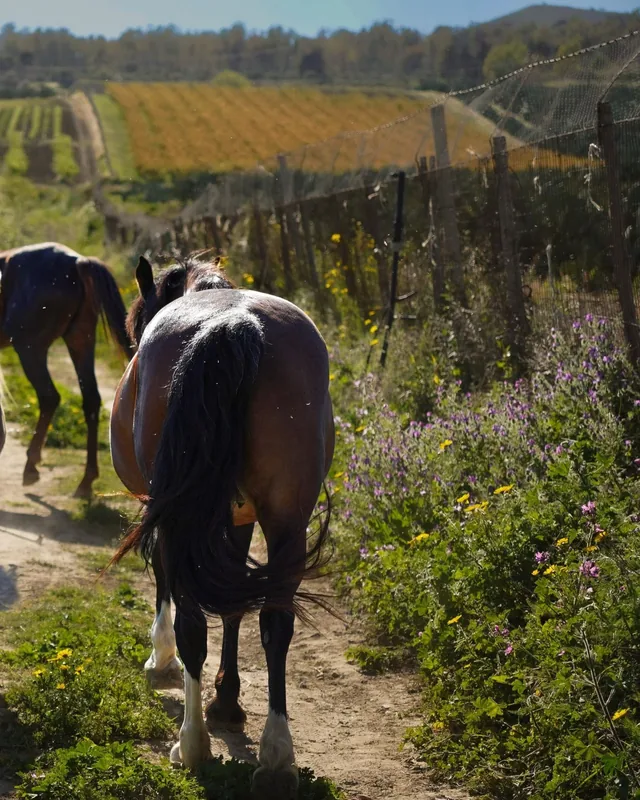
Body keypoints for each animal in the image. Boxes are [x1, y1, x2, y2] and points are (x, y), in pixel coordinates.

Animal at [0, 242, 134, 497]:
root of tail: (77, 262)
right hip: (80, 339)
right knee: (91, 400)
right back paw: (85, 482)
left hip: (31, 348)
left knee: (49, 397)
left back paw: (31, 466)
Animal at [109, 254, 335, 798]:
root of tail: (233, 322)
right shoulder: (236, 517)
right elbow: (234, 607)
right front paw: (228, 701)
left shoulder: (168, 512)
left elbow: (170, 588)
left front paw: (162, 663)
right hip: (286, 517)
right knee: (276, 622)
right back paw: (277, 760)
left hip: (180, 515)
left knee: (193, 621)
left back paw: (192, 746)